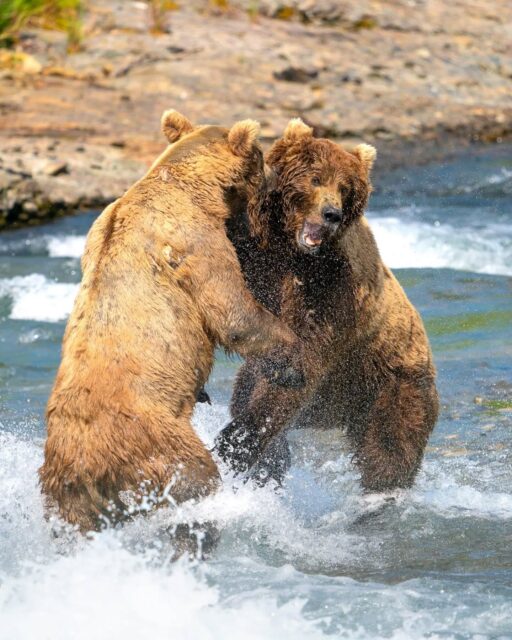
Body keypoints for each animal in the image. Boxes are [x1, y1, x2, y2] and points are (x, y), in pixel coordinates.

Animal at [39, 110, 305, 536]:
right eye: (263, 159)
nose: (273, 180)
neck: (193, 186)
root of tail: (85, 469)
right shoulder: (195, 240)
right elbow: (233, 312)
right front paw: (293, 360)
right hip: (159, 444)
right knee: (195, 479)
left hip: (65, 496)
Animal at [215, 118, 439, 493]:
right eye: (316, 177)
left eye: (345, 187)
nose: (331, 213)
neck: (293, 252)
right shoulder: (258, 258)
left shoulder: (333, 293)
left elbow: (302, 363)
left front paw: (234, 445)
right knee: (246, 386)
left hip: (391, 384)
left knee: (389, 448)